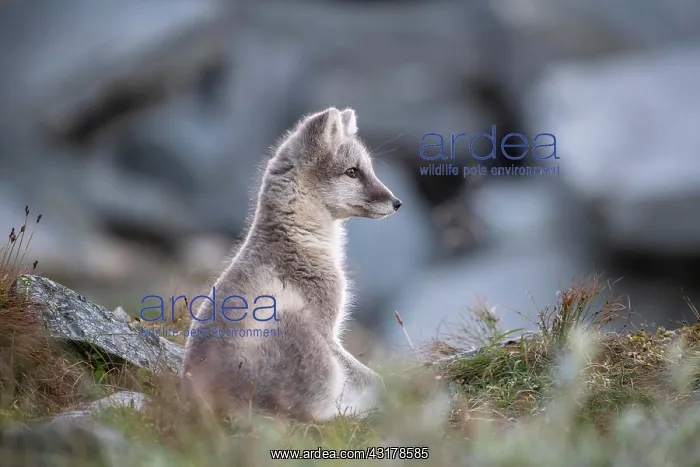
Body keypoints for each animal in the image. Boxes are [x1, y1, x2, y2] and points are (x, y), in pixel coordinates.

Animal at [181, 107, 402, 421]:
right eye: (352, 172)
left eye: (368, 168)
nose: (397, 202)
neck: (296, 238)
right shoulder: (326, 330)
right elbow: (373, 378)